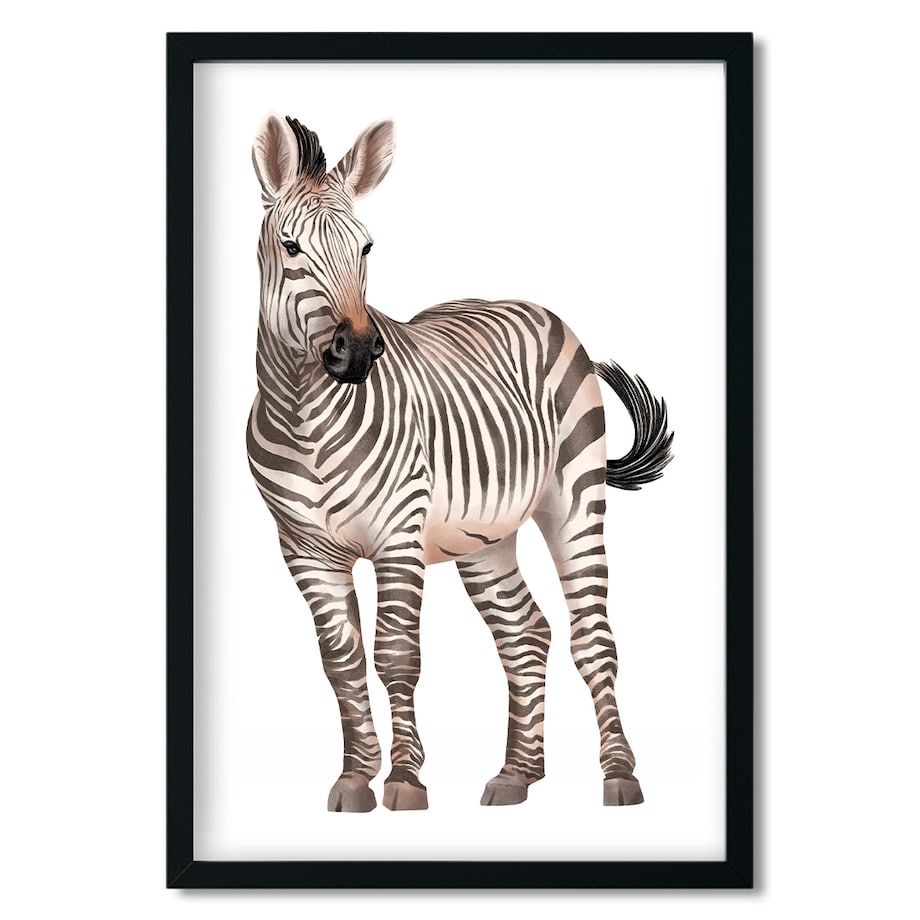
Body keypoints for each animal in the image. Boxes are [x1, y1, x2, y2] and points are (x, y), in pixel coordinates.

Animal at [248, 114, 673, 812]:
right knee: (526, 635)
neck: (305, 412)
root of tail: (525, 303)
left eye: (367, 249)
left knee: (592, 636)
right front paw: (354, 778)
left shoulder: (397, 535)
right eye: (290, 247)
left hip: (575, 498)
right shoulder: (303, 548)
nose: (358, 351)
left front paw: (404, 780)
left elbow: (396, 655)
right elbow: (341, 661)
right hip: (484, 536)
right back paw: (517, 774)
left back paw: (619, 775)